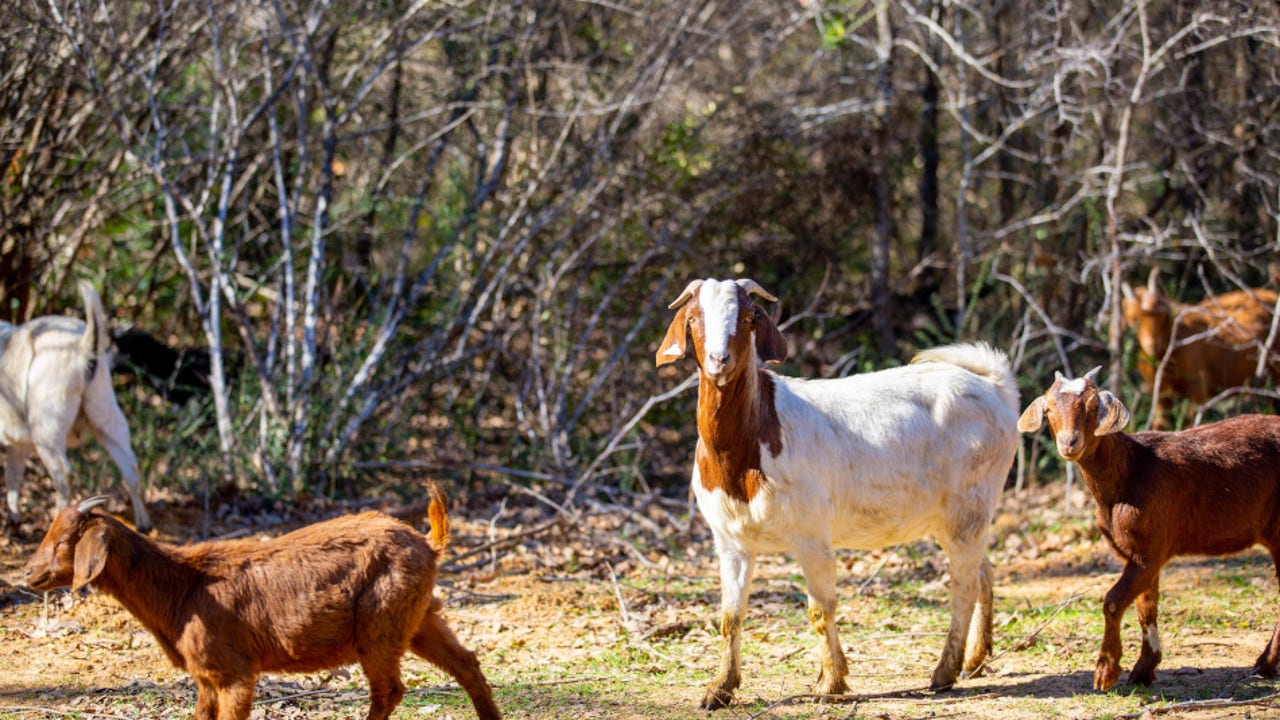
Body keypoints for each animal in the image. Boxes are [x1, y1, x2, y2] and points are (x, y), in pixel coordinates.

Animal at [0, 280, 151, 527]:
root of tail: (83, 345)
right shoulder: (15, 445)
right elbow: (13, 476)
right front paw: (14, 517)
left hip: (46, 429)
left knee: (64, 475)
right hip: (105, 411)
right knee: (131, 468)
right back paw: (143, 524)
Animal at [22, 486, 499, 717]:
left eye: (64, 541)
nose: (28, 573)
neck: (182, 588)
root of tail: (428, 542)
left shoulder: (235, 672)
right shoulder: (206, 676)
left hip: (380, 623)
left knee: (389, 691)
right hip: (418, 617)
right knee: (466, 664)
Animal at [660, 275, 1018, 707]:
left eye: (748, 317)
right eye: (694, 319)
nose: (719, 360)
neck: (752, 439)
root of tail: (996, 388)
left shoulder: (812, 534)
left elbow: (821, 609)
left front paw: (831, 681)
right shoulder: (731, 540)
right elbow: (731, 615)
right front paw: (720, 688)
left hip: (969, 503)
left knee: (963, 587)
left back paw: (944, 671)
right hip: (954, 517)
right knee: (983, 571)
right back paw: (976, 659)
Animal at [1013, 368, 1280, 691]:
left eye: (1092, 407)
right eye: (1049, 410)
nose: (1069, 443)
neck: (1130, 470)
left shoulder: (1149, 550)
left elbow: (1113, 601)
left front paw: (1106, 671)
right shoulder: (1139, 553)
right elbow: (1145, 605)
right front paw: (1143, 669)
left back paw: (1265, 664)